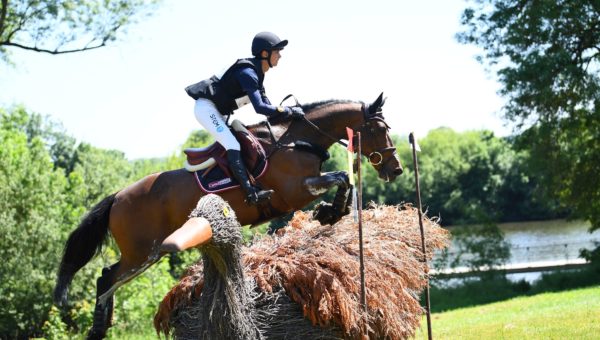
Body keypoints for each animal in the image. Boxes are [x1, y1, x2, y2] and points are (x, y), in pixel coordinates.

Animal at [54, 91, 404, 338]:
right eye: (379, 129)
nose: (395, 169)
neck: (297, 139)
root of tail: (118, 197)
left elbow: (343, 181)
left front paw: (331, 212)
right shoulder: (296, 190)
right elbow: (341, 177)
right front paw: (330, 211)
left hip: (144, 254)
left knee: (107, 276)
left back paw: (101, 327)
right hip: (144, 254)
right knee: (107, 278)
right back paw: (98, 328)